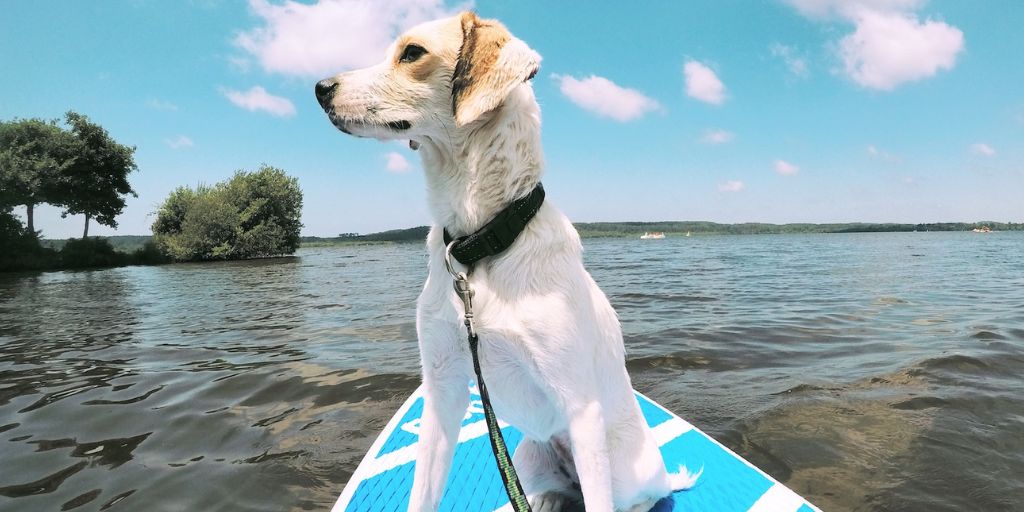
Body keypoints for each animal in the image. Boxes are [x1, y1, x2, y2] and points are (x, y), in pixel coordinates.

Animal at [313, 12, 696, 512]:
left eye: (411, 53)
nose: (319, 87)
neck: (479, 246)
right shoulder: (442, 390)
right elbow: (422, 493)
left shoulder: (581, 407)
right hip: (530, 452)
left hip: (621, 463)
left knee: (633, 496)